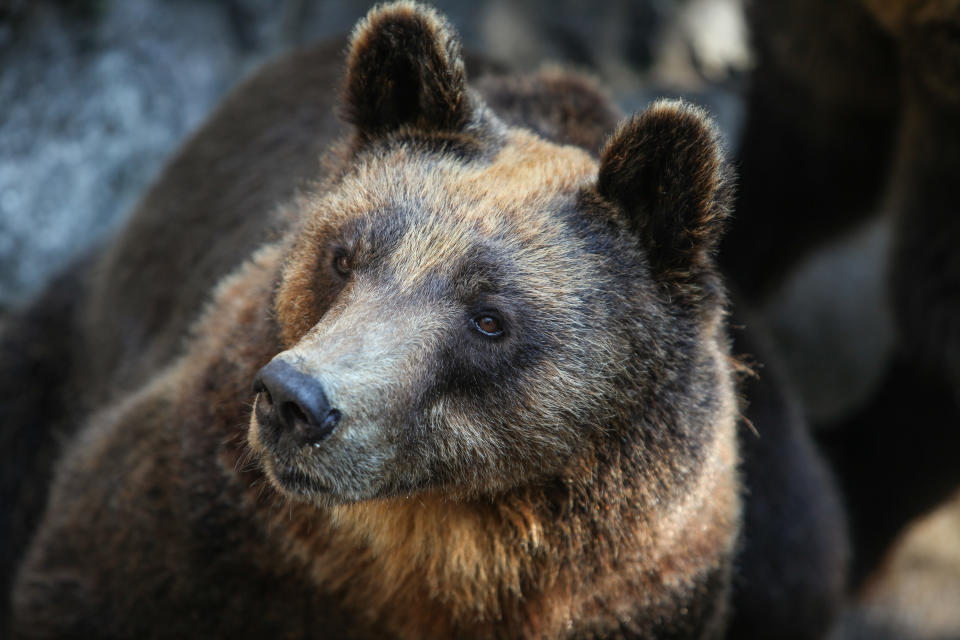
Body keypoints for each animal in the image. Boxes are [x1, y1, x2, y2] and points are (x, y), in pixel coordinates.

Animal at [5, 2, 848, 636]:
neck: (432, 538)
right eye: (344, 255)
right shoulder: (206, 506)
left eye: (489, 318)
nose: (294, 400)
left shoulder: (642, 587)